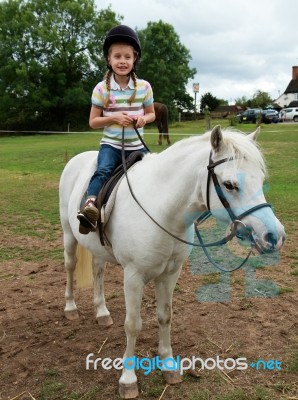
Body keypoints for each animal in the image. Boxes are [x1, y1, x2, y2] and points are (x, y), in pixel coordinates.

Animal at [59, 124, 286, 396]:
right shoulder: (133, 277)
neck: (162, 209)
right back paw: (70, 308)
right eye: (230, 184)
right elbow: (133, 324)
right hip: (68, 234)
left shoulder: (170, 274)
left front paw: (168, 366)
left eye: (261, 180)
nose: (274, 236)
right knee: (70, 267)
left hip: (98, 248)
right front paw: (128, 379)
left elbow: (165, 316)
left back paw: (102, 312)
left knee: (98, 271)